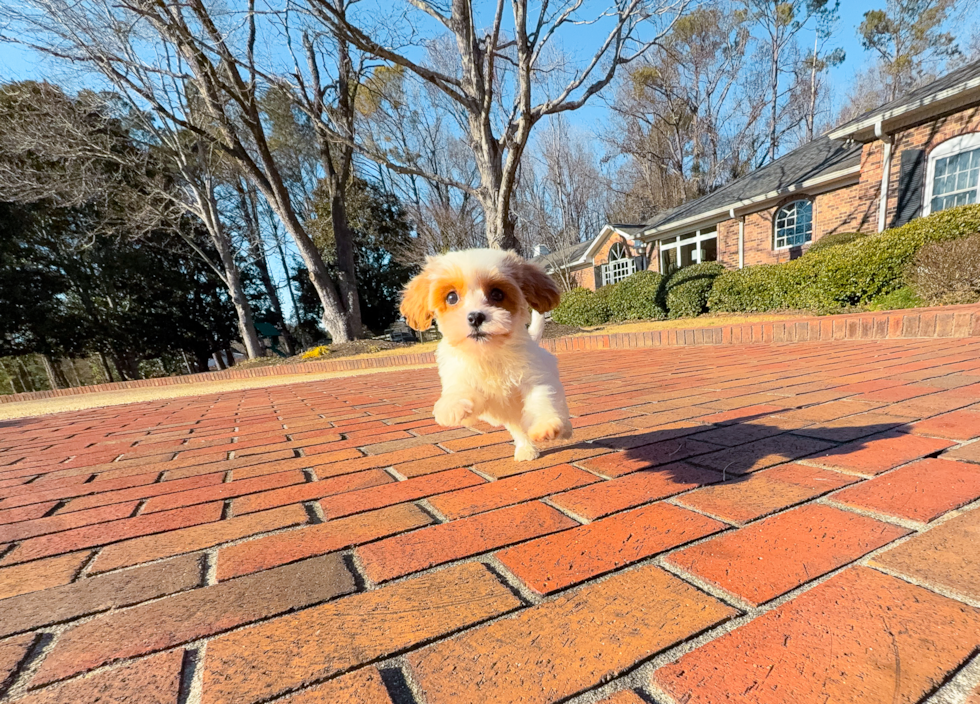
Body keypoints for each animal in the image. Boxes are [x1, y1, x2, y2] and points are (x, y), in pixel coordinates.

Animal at [402, 249, 576, 462]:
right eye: (451, 297)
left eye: (497, 294)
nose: (475, 317)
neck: (488, 352)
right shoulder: (468, 385)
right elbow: (462, 390)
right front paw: (450, 406)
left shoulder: (536, 378)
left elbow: (540, 401)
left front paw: (546, 426)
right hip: (508, 415)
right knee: (518, 429)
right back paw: (526, 449)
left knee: (558, 409)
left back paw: (564, 430)